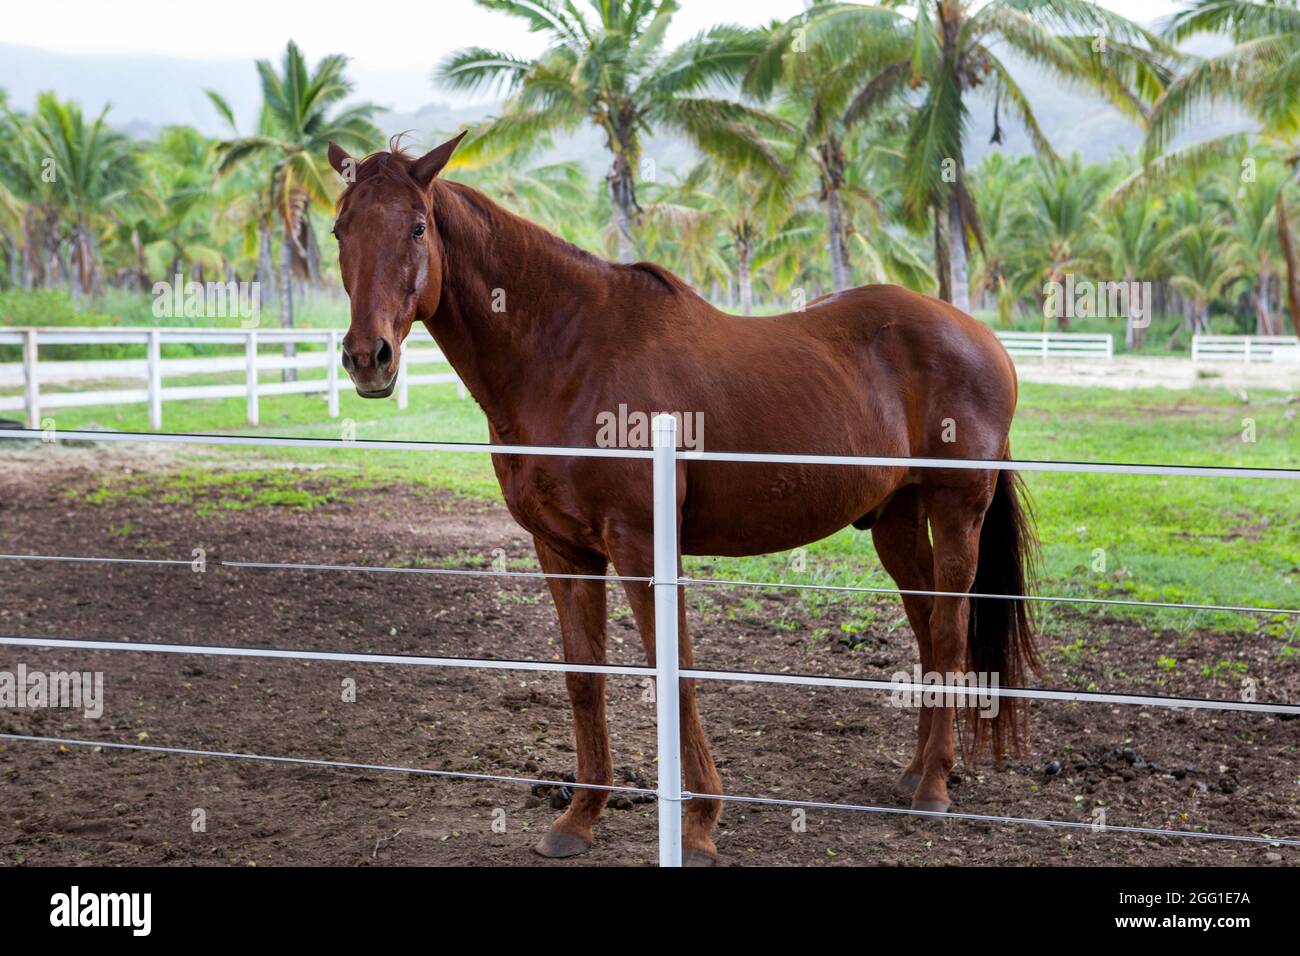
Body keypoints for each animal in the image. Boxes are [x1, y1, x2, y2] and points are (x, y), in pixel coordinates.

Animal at [326, 133, 1038, 865]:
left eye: (417, 227)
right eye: (340, 229)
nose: (367, 357)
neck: (566, 355)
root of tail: (980, 337)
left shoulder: (642, 547)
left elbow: (676, 673)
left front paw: (697, 825)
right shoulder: (562, 550)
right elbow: (584, 677)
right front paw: (580, 817)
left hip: (956, 512)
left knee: (949, 629)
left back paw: (933, 785)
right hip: (895, 519)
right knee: (927, 626)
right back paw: (918, 769)